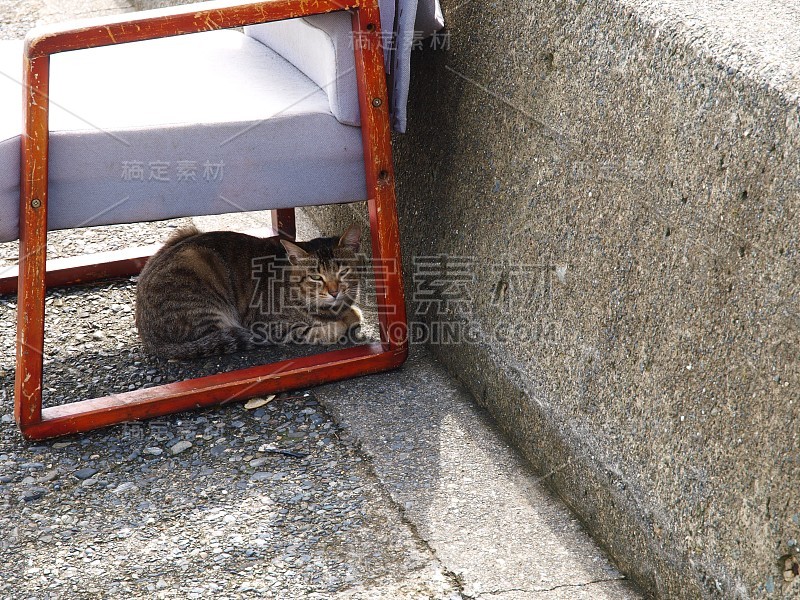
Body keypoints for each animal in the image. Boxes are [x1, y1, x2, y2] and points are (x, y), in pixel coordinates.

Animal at [136, 224, 364, 356]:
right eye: (316, 277)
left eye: (343, 272)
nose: (334, 292)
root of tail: (149, 340)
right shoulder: (270, 326)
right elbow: (328, 329)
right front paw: (338, 324)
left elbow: (352, 314)